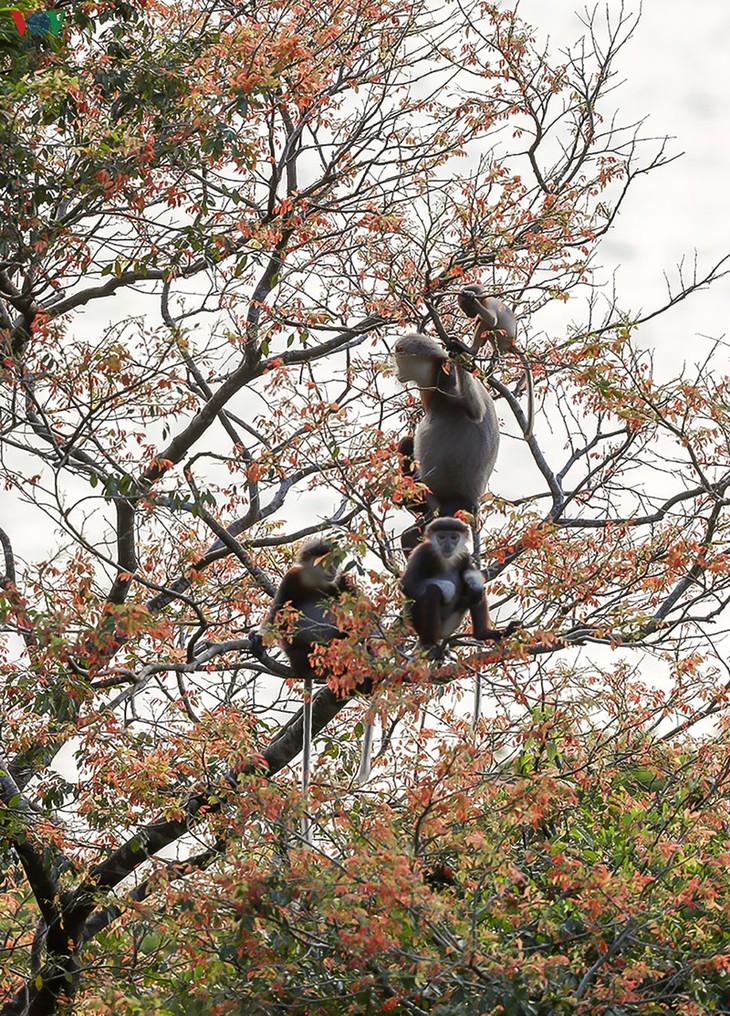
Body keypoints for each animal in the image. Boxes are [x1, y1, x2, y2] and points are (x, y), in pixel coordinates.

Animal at [393, 333, 503, 520]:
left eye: (400, 362)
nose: (398, 374)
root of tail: (471, 500)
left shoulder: (444, 373)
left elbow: (476, 412)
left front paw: (460, 352)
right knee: (407, 442)